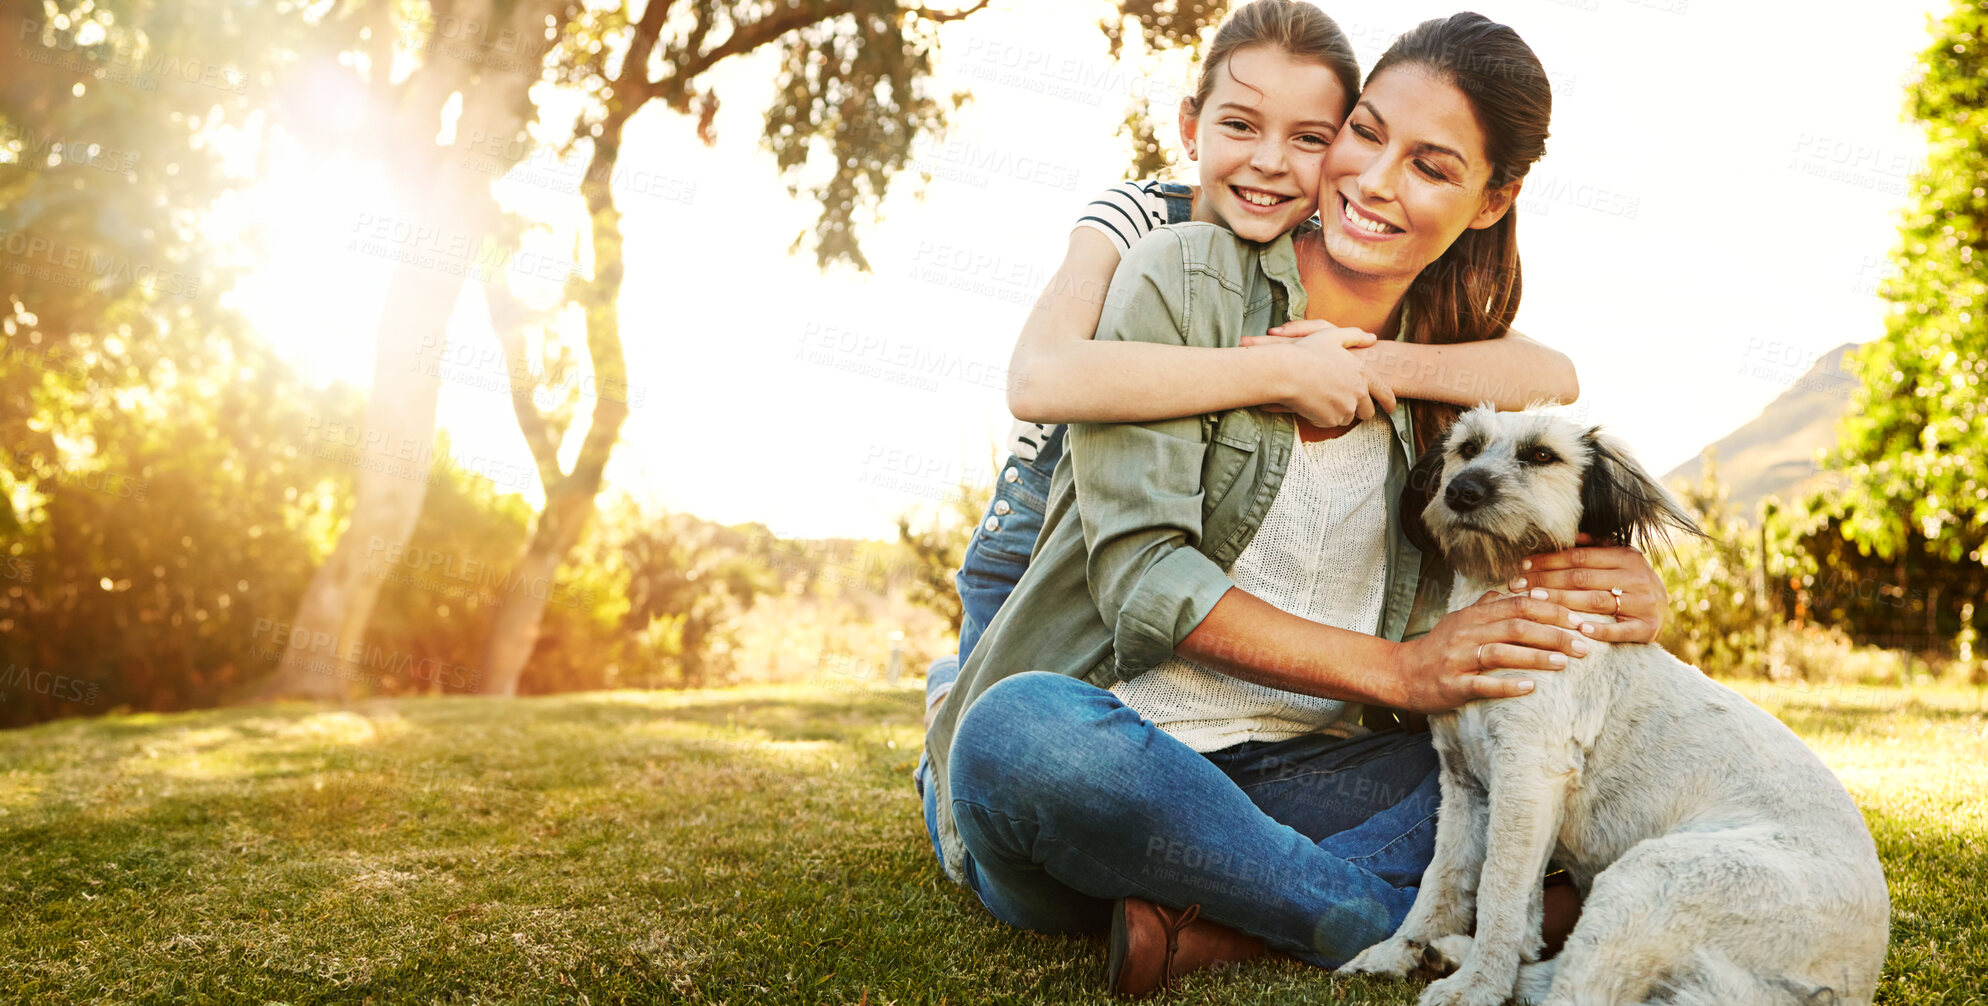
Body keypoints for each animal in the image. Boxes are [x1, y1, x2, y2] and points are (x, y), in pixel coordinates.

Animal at [1343, 409, 1884, 1006]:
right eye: (1468, 448)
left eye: (1541, 456)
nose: (1462, 491)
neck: (1503, 596)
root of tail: (1855, 975)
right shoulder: (1464, 786)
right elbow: (1442, 882)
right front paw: (1400, 951)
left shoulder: (1528, 777)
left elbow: (1499, 894)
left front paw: (1478, 986)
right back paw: (1452, 953)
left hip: (1651, 875)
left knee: (1578, 994)